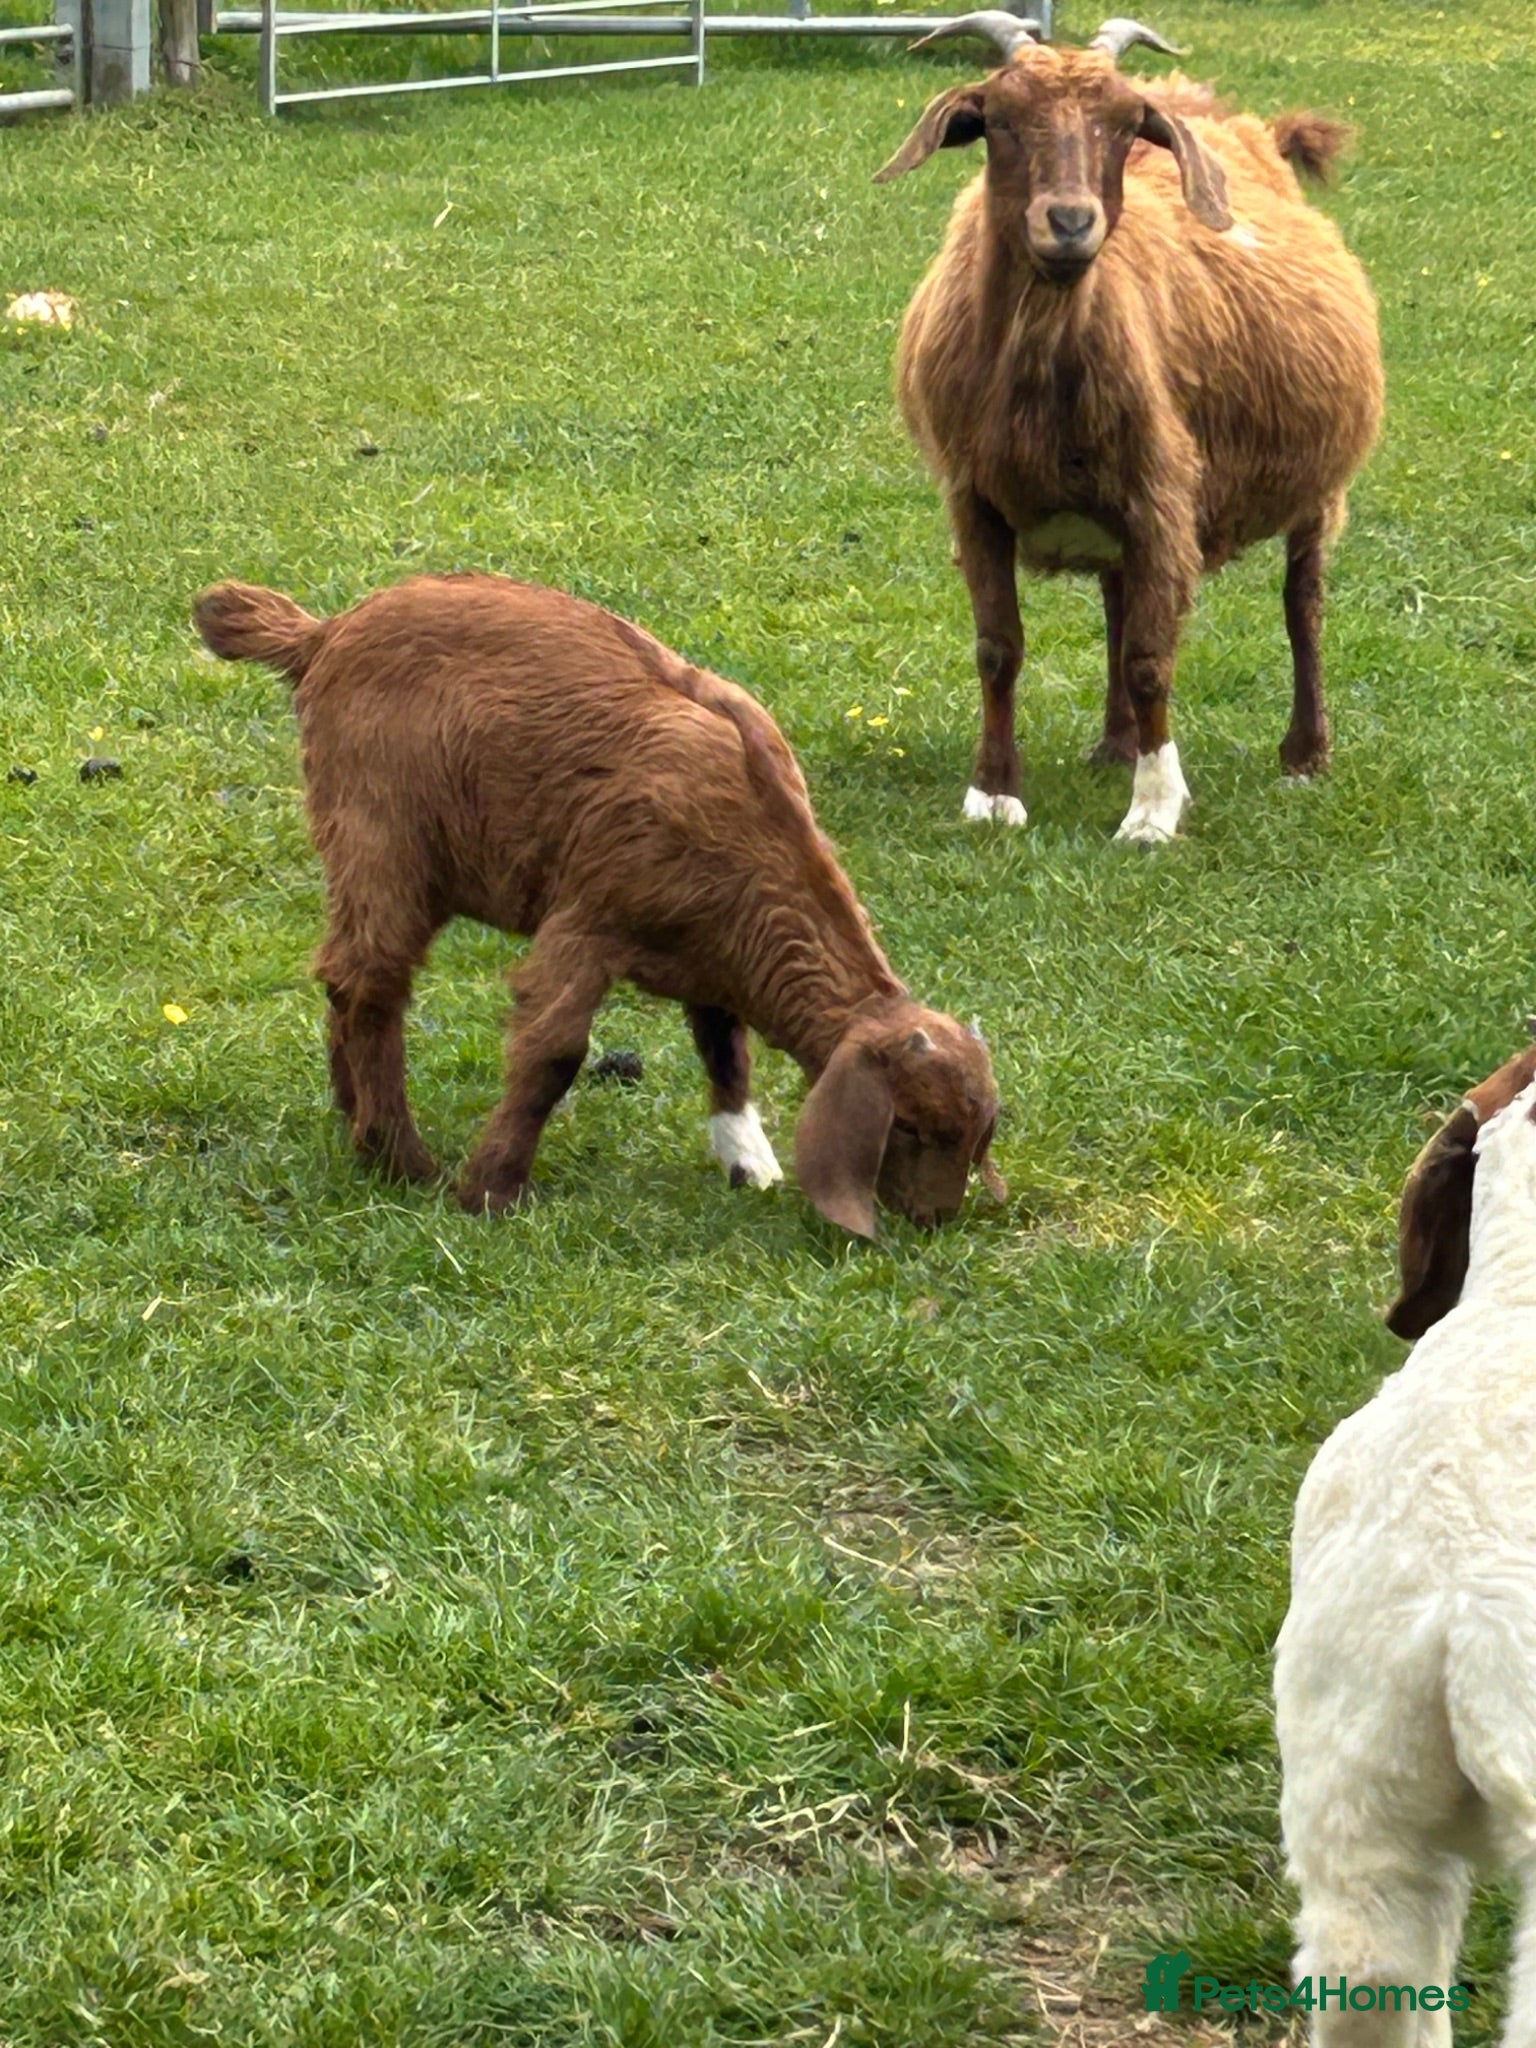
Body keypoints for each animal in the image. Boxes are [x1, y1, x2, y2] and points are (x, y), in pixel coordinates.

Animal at [193, 573, 1002, 1235]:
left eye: (979, 1133)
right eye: (909, 1127)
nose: (934, 1220)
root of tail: (322, 635)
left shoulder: (713, 947)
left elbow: (725, 1045)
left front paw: (746, 1158)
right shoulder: (588, 919)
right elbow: (554, 1052)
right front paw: (490, 1190)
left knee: (341, 973)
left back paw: (352, 1115)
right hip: (381, 834)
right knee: (369, 981)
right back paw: (399, 1157)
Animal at [876, 15, 1383, 841]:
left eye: (1122, 125)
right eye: (999, 119)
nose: (1070, 222)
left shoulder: (1163, 496)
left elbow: (1151, 659)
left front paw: (1153, 808)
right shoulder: (974, 498)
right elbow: (998, 649)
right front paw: (994, 793)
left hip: (1320, 485)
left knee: (1302, 603)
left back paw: (1305, 752)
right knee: (1117, 599)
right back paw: (1114, 743)